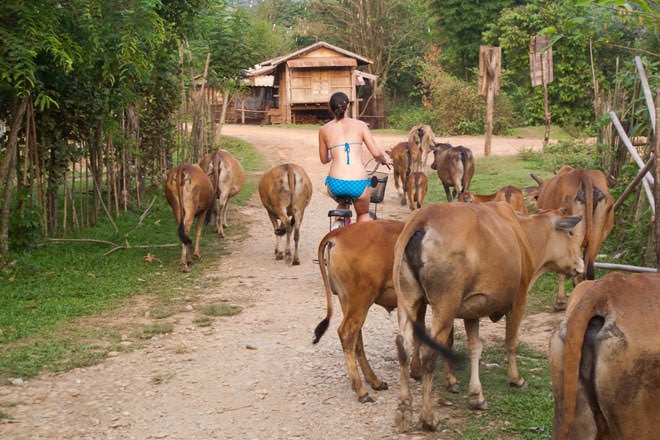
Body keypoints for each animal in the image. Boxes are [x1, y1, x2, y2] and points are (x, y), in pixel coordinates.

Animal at [312, 220, 426, 402]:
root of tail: (339, 234)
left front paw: (416, 371)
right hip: (361, 301)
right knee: (347, 333)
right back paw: (361, 390)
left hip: (348, 301)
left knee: (356, 338)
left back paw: (374, 381)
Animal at [392, 205, 584, 432]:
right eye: (570, 233)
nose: (580, 264)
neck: (523, 234)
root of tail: (424, 217)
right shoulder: (519, 299)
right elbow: (511, 341)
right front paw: (516, 379)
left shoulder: (472, 308)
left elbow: (475, 347)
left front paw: (476, 396)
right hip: (445, 305)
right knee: (430, 353)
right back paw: (429, 417)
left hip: (409, 300)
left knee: (403, 345)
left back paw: (404, 406)